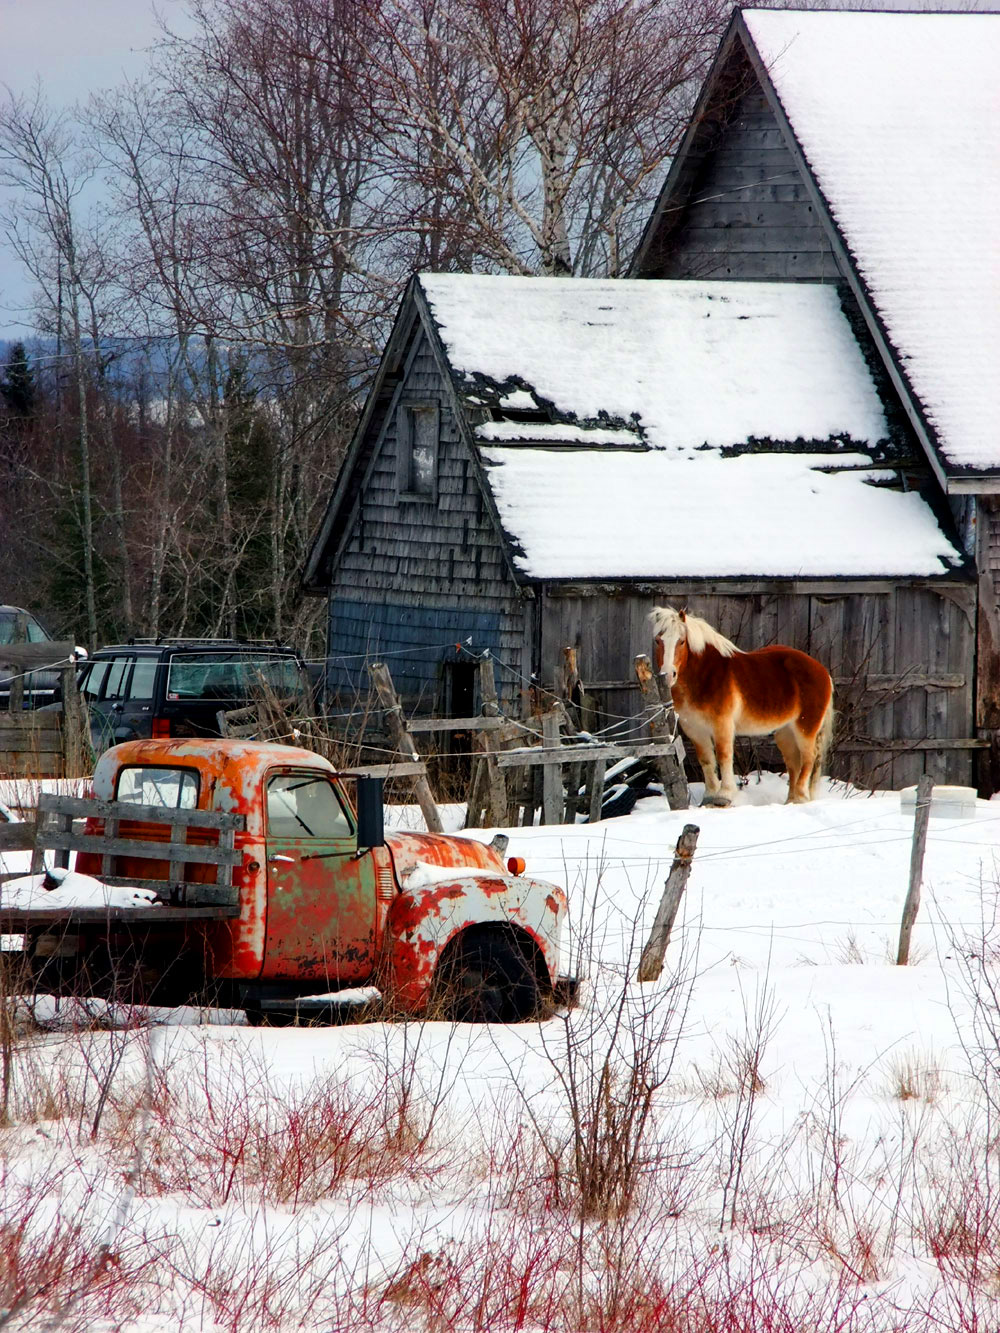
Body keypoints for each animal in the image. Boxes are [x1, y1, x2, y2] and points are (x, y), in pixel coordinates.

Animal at [650, 610, 837, 805]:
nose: (668, 675)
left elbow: (723, 756)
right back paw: (790, 801)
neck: (705, 675)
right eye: (658, 640)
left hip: (805, 728)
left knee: (809, 759)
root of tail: (823, 672)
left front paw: (724, 795)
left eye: (681, 641)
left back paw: (800, 798)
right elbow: (706, 760)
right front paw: (710, 796)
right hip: (786, 732)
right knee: (795, 762)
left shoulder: (722, 724)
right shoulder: (694, 729)